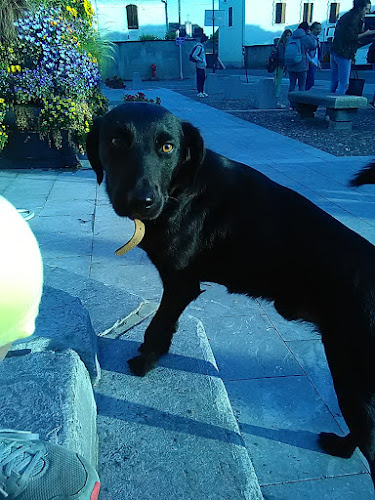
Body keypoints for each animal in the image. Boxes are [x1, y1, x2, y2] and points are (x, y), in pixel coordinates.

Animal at [87, 102, 375, 488]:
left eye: (167, 147)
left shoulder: (180, 283)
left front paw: (146, 361)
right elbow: (166, 326)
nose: (141, 202)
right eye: (116, 140)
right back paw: (341, 448)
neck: (182, 187)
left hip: (352, 373)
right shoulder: (181, 287)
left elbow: (157, 326)